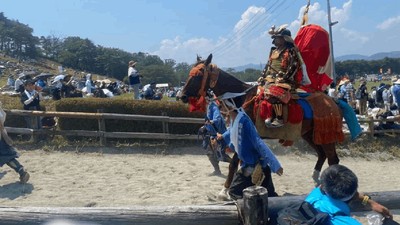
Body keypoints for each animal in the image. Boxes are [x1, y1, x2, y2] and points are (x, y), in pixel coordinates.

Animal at [180, 53, 342, 188]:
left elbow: (234, 163)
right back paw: (316, 178)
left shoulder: (244, 133)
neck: (241, 98)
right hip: (310, 134)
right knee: (322, 154)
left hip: (325, 135)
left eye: (198, 75)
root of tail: (332, 101)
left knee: (333, 159)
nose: (182, 96)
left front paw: (225, 190)